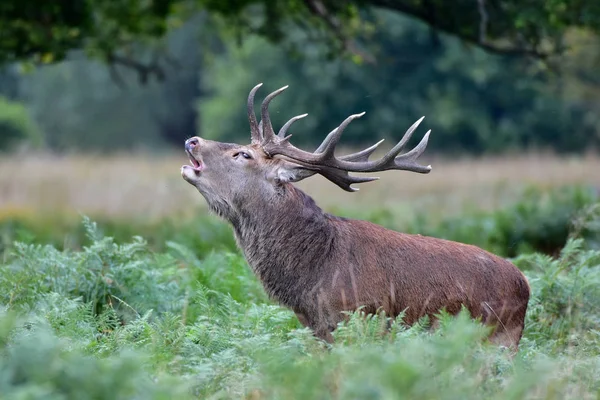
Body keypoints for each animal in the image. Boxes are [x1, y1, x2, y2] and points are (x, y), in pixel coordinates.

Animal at [182, 83, 528, 348]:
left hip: (497, 339)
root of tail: (525, 285)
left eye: (243, 154)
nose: (192, 140)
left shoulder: (358, 317)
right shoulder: (316, 329)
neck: (312, 274)